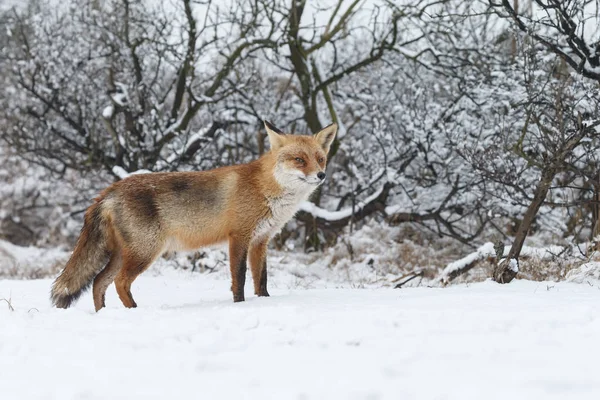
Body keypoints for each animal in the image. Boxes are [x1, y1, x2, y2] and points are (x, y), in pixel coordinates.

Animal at [50, 120, 338, 310]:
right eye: (299, 160)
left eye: (320, 158)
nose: (321, 175)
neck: (266, 189)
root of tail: (109, 191)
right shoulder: (239, 237)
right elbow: (239, 279)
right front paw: (240, 306)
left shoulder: (261, 240)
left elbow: (261, 281)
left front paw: (263, 302)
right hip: (145, 252)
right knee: (119, 282)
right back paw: (134, 311)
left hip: (125, 253)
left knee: (99, 282)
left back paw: (104, 314)